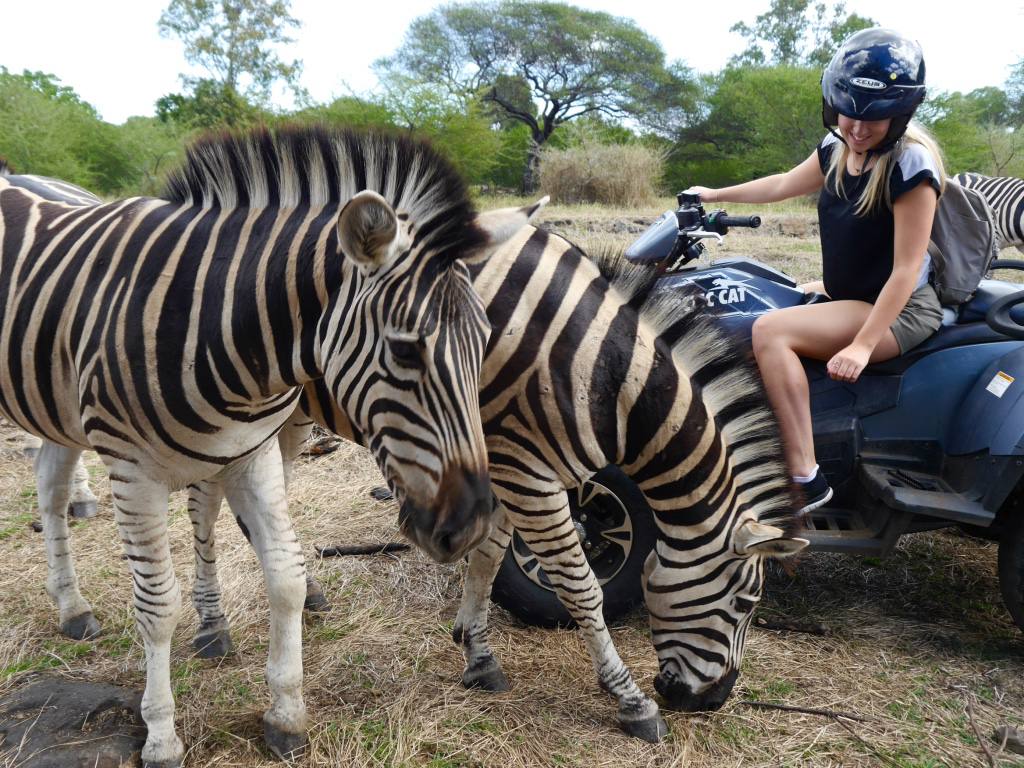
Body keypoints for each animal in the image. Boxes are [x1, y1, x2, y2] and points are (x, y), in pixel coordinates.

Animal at [0, 129, 544, 765]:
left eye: (485, 342)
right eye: (405, 350)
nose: (472, 524)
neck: (217, 326)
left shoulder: (251, 452)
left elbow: (286, 577)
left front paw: (286, 714)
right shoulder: (133, 471)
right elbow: (158, 605)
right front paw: (161, 735)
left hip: (56, 402)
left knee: (49, 485)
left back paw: (73, 607)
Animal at [180, 225, 806, 741]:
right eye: (747, 601)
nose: (713, 702)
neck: (596, 372)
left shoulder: (515, 467)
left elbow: (486, 559)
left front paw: (477, 654)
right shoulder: (528, 476)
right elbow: (582, 587)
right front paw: (629, 700)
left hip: (289, 407)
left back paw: (305, 590)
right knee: (203, 498)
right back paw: (212, 626)